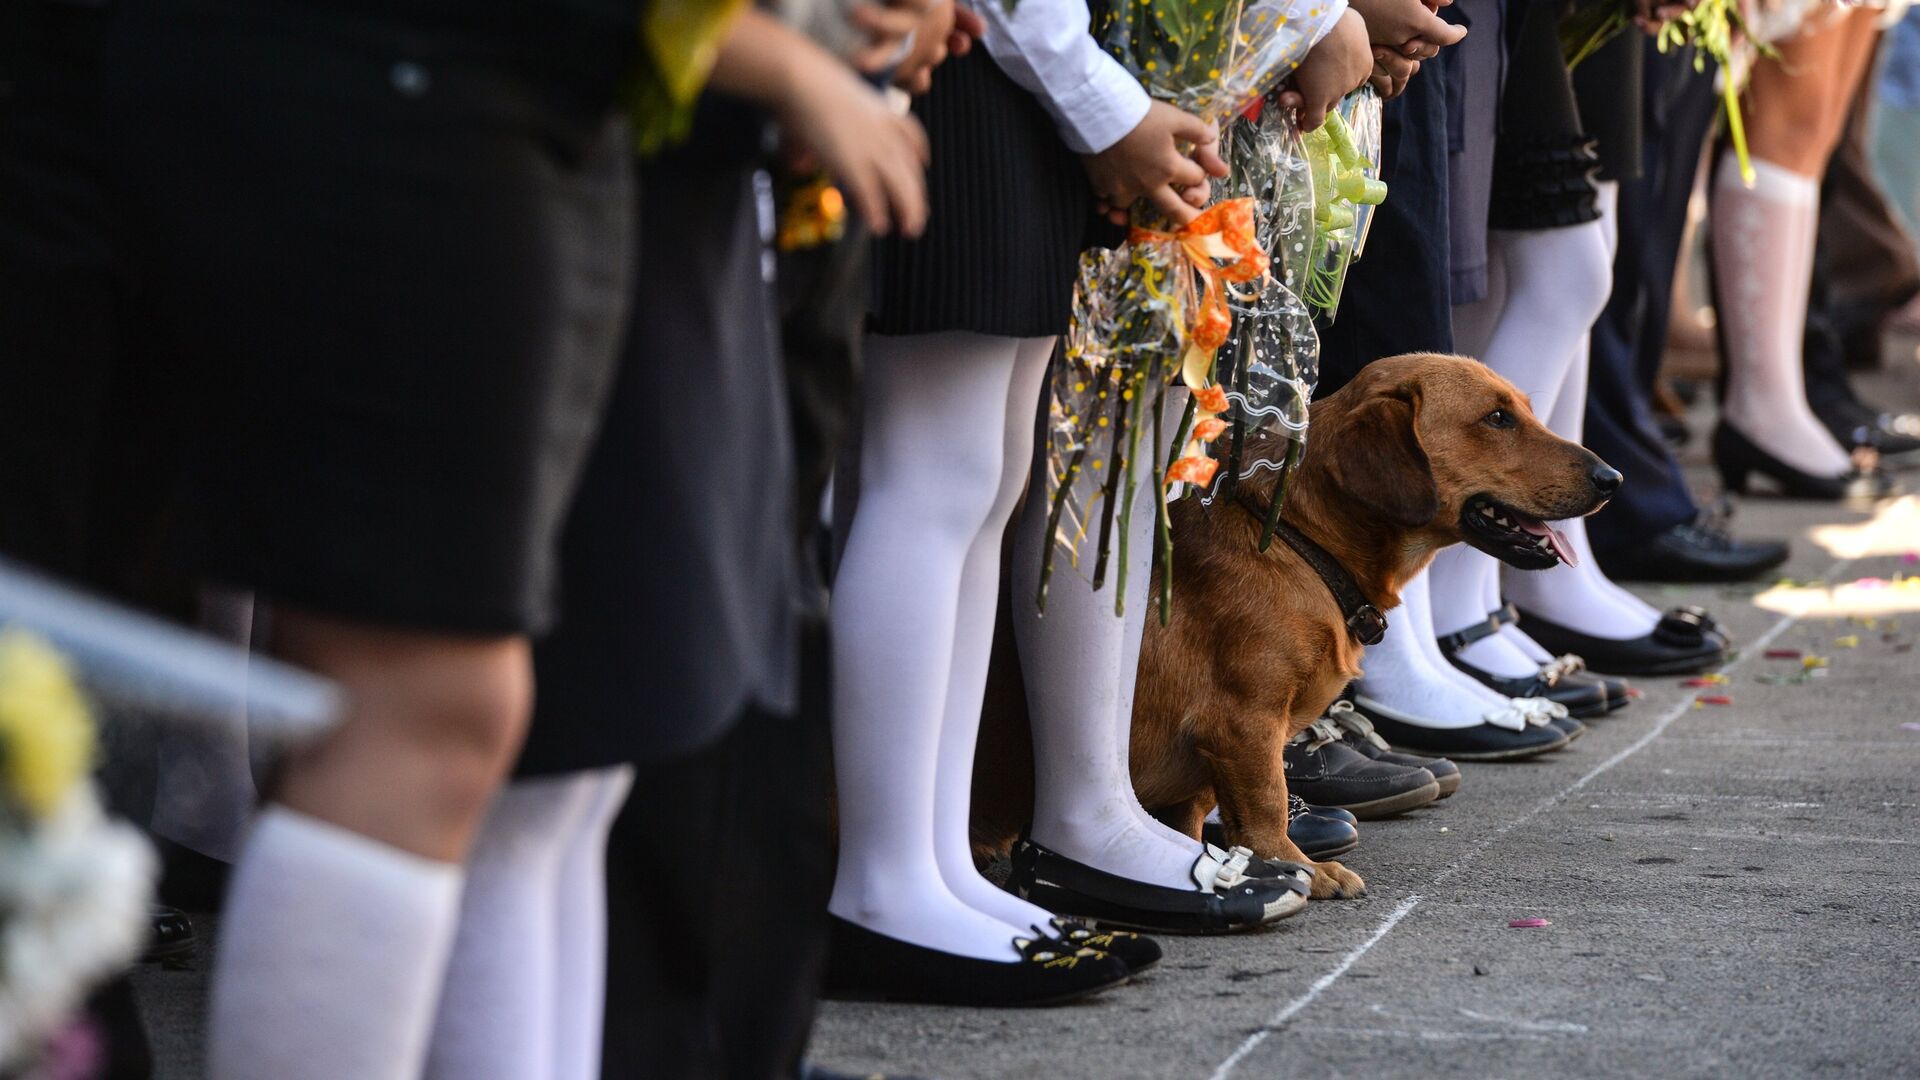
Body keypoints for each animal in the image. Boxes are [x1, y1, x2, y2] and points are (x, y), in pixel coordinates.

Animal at [1128, 351, 1612, 891]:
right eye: (1498, 418)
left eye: (1524, 410)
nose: (1612, 479)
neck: (1302, 542)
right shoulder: (1243, 722)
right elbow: (1267, 802)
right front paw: (1293, 867)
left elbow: (1198, 820)